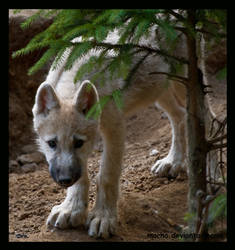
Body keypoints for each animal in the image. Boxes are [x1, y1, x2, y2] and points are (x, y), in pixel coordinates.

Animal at [32, 31, 191, 238]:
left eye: (78, 143)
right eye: (51, 143)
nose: (65, 180)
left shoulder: (114, 128)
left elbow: (107, 175)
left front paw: (103, 217)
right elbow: (82, 178)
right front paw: (72, 209)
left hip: (185, 84)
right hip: (160, 90)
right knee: (179, 116)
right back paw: (174, 162)